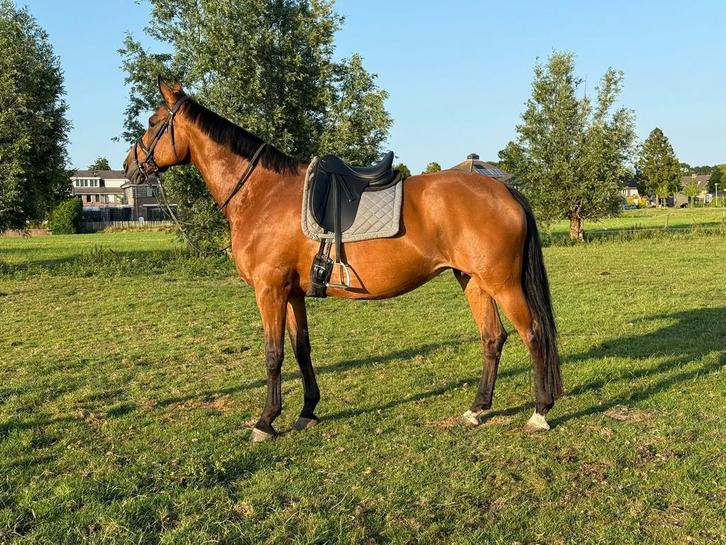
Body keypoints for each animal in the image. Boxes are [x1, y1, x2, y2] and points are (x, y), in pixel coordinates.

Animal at [123, 78, 563, 442]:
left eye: (153, 121)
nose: (129, 166)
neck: (262, 193)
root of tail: (504, 190)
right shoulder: (292, 293)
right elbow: (301, 349)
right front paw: (306, 412)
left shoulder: (269, 290)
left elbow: (273, 355)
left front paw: (266, 422)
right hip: (470, 279)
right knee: (493, 337)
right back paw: (477, 409)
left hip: (502, 282)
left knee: (533, 334)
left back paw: (540, 412)